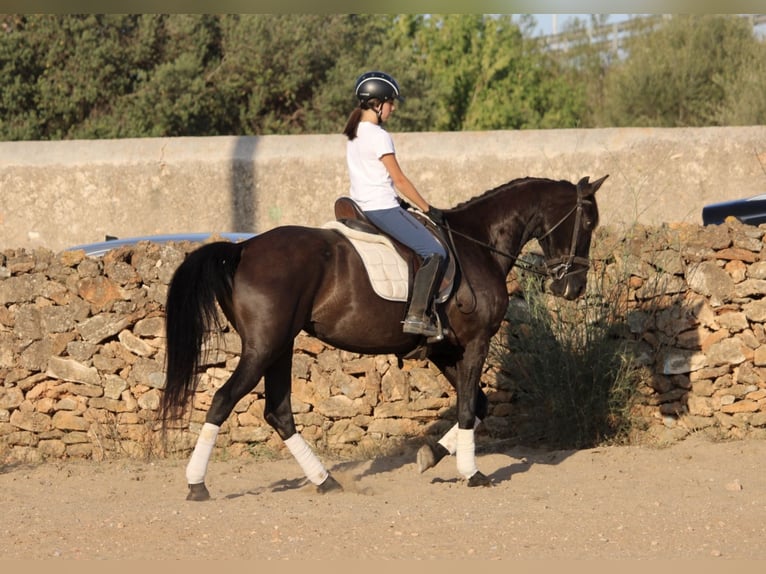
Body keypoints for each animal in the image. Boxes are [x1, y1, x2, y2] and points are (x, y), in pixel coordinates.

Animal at [159, 173, 608, 502]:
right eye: (587, 222)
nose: (574, 288)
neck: (477, 244)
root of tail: (244, 250)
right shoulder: (475, 342)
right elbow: (468, 408)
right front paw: (472, 472)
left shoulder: (446, 350)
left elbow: (477, 404)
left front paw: (431, 455)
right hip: (264, 347)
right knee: (224, 400)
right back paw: (197, 484)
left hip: (280, 347)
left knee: (279, 412)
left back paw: (324, 480)